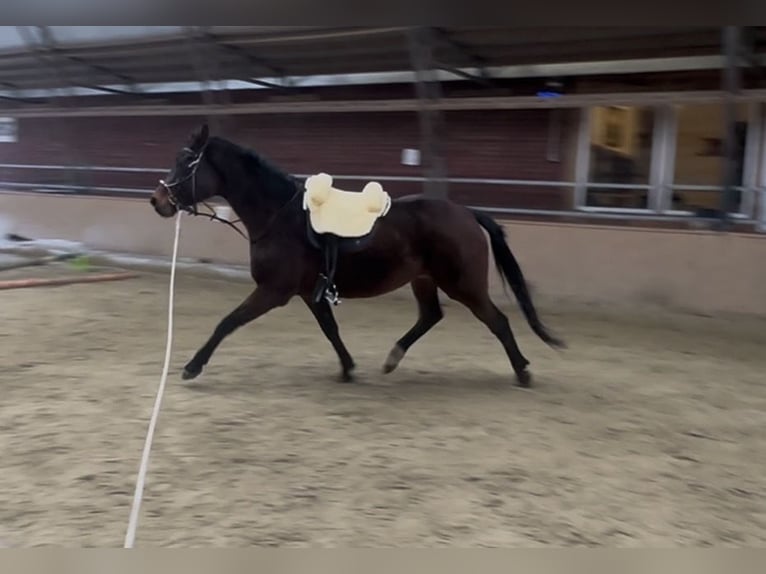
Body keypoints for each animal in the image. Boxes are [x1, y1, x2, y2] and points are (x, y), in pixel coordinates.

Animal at [149, 123, 565, 388]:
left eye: (185, 162)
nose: (158, 201)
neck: (280, 216)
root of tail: (466, 212)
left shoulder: (274, 291)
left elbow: (228, 322)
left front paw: (192, 367)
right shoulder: (309, 293)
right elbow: (330, 329)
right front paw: (348, 368)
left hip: (464, 284)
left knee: (498, 322)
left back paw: (522, 372)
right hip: (424, 279)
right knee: (431, 316)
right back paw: (393, 357)